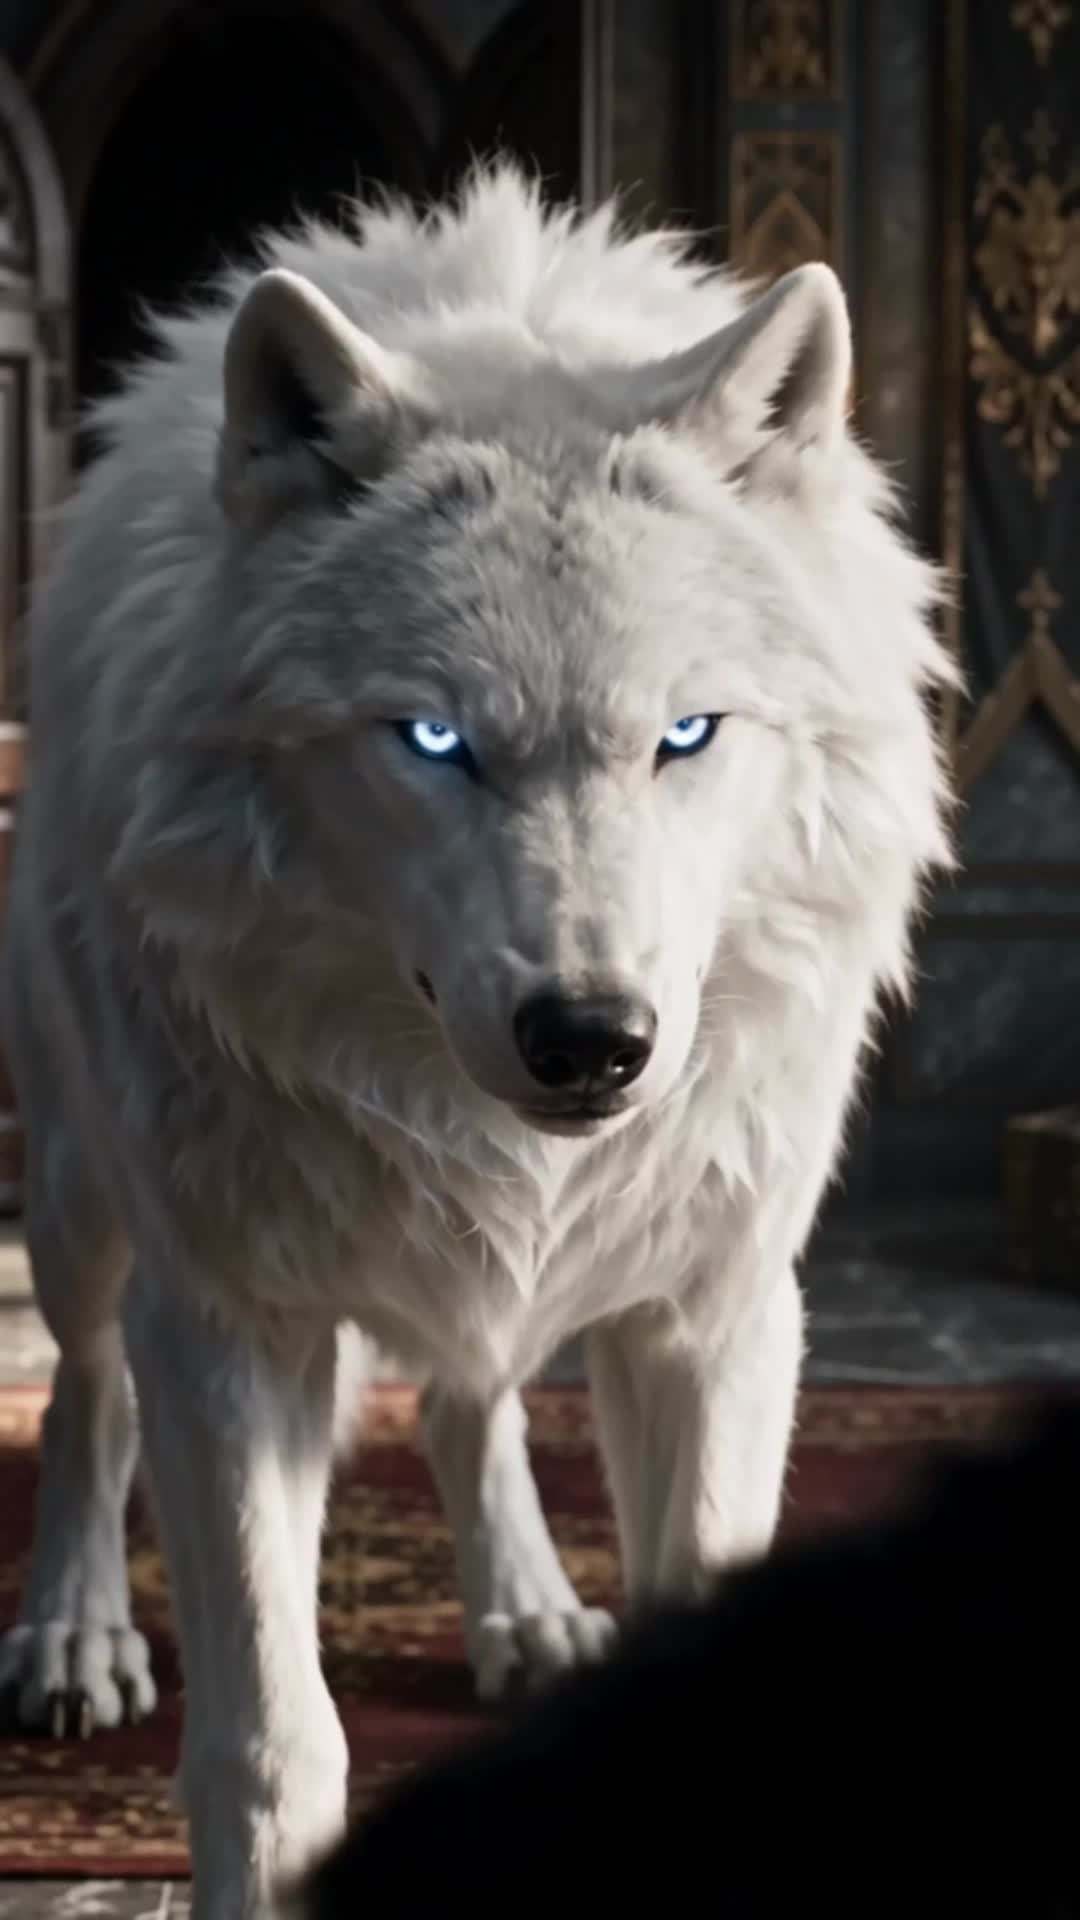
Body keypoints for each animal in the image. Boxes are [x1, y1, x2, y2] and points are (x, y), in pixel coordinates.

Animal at [0, 168, 952, 1917]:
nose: (591, 1041)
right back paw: (74, 1634)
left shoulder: (713, 1312)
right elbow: (270, 1748)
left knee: (473, 1386)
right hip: (87, 1194)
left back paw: (525, 1607)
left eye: (688, 733)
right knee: (85, 1392)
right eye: (433, 738)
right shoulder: (235, 1326)